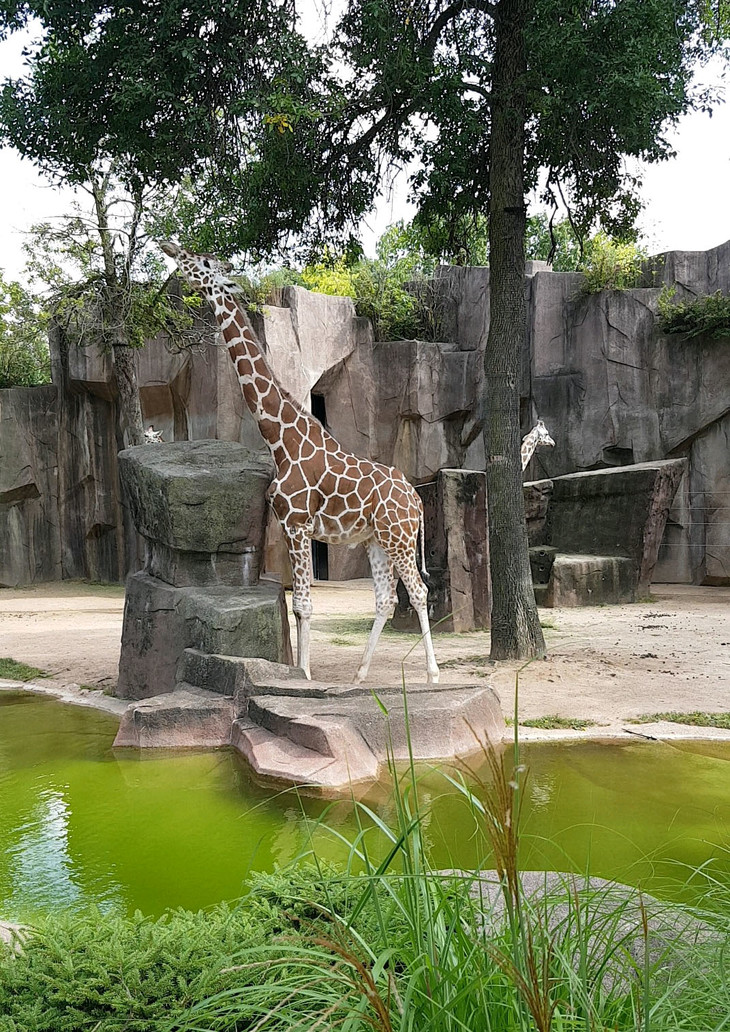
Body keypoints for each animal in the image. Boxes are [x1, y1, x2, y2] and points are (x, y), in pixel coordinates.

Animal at [161, 241, 441, 685]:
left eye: (204, 262)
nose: (170, 247)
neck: (281, 440)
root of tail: (415, 500)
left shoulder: (298, 524)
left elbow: (305, 605)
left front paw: (304, 676)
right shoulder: (293, 525)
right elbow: (298, 604)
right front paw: (300, 674)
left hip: (397, 538)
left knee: (417, 591)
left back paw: (432, 675)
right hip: (376, 540)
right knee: (385, 599)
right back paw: (359, 676)